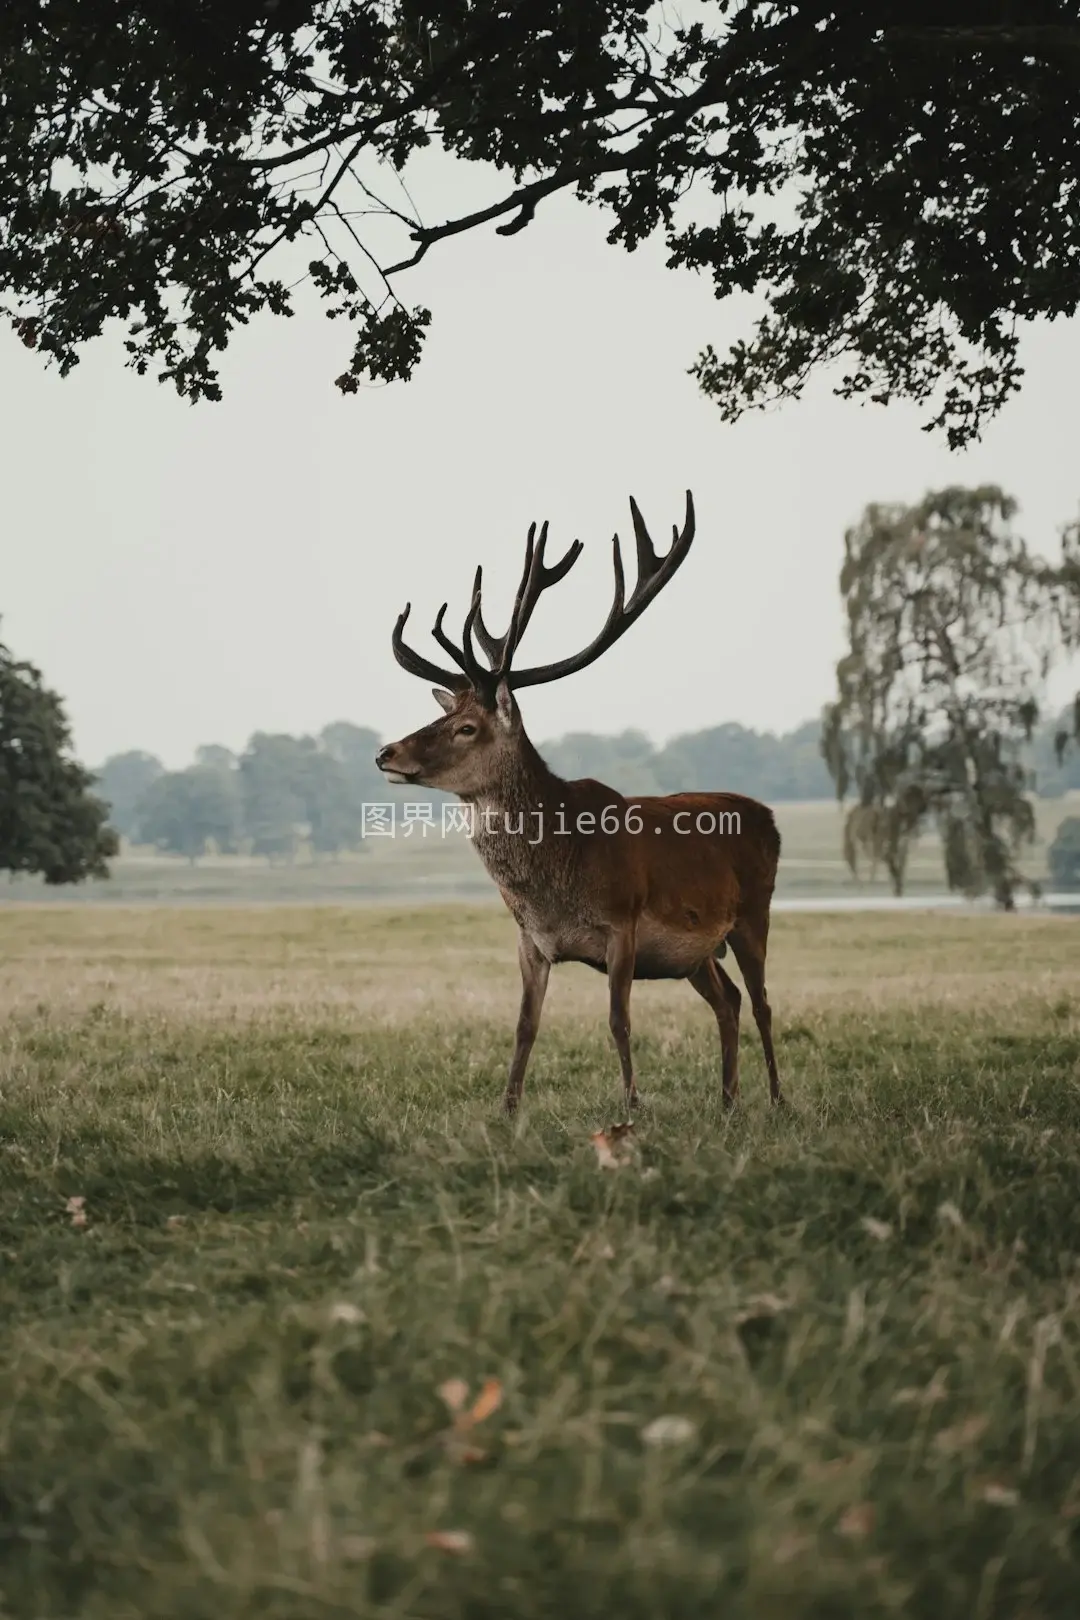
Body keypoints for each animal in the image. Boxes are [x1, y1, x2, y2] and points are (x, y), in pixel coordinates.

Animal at [380, 489, 786, 1114]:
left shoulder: (622, 924)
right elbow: (524, 1026)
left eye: (467, 728)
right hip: (695, 954)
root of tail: (768, 817)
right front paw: (507, 1109)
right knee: (731, 999)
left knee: (763, 1001)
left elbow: (619, 1021)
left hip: (752, 913)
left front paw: (631, 1107)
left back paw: (776, 1099)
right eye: (444, 716)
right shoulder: (530, 941)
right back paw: (726, 1101)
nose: (387, 752)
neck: (557, 877)